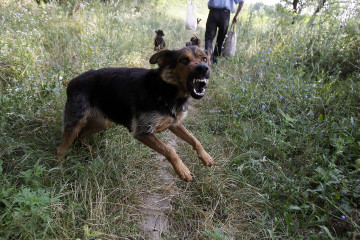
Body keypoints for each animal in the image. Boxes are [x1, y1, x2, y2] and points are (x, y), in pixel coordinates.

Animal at [56, 46, 214, 182]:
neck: (167, 89)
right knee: (61, 149)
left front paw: (205, 157)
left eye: (204, 58)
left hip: (102, 122)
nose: (203, 68)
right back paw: (60, 169)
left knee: (81, 135)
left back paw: (90, 149)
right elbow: (170, 150)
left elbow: (194, 139)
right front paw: (182, 169)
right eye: (184, 60)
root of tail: (72, 82)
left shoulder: (174, 123)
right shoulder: (143, 132)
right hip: (75, 123)